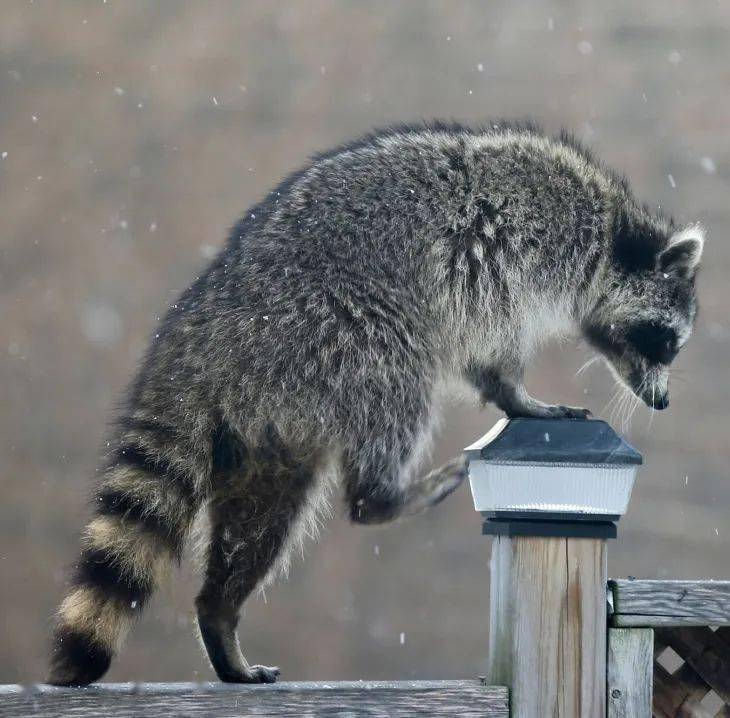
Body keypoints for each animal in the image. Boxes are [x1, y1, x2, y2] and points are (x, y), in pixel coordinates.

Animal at [47, 122, 700, 688]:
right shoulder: (514, 250)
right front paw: (517, 395)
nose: (665, 402)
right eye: (665, 341)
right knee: (400, 386)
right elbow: (489, 346)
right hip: (340, 333)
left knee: (258, 518)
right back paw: (383, 495)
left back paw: (220, 615)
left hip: (270, 417)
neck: (609, 234)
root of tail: (202, 329)